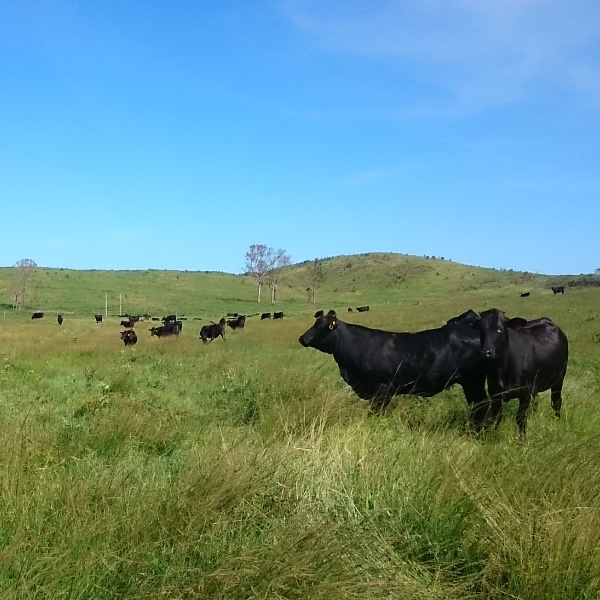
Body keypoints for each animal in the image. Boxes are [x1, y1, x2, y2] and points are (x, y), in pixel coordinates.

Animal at [298, 308, 490, 428]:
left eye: (319, 326)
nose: (302, 338)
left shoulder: (383, 389)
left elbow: (376, 413)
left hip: (473, 380)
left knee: (481, 404)